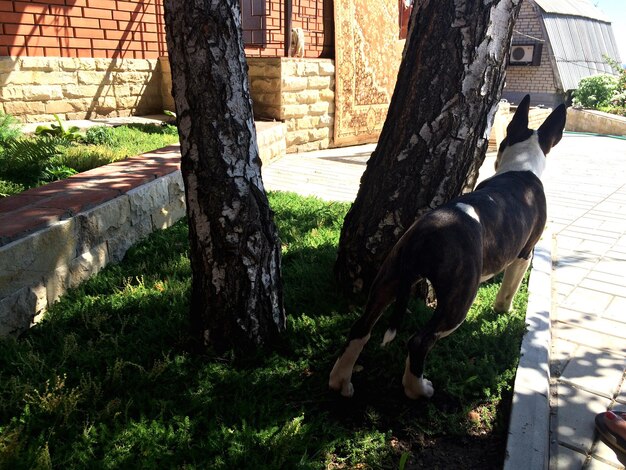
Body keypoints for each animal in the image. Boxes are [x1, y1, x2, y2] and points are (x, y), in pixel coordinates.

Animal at [330, 95, 564, 400]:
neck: (521, 166)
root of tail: (426, 233)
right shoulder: (524, 254)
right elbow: (509, 287)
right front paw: (504, 310)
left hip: (389, 277)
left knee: (361, 327)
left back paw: (340, 381)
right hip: (458, 300)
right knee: (419, 341)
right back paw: (418, 389)